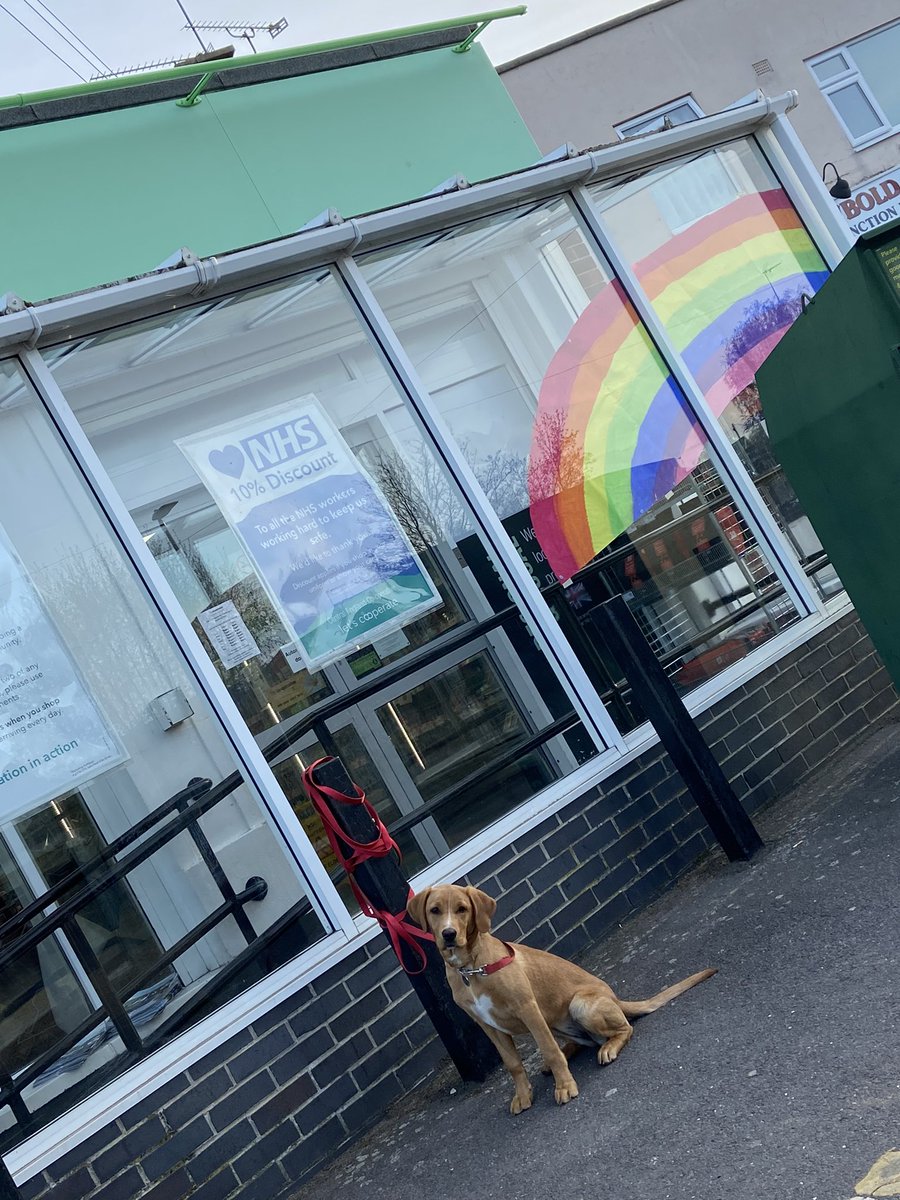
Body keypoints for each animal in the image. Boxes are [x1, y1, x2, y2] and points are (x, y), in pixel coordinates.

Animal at [410, 883, 720, 1113]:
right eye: (435, 910)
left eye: (462, 909)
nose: (449, 934)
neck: (471, 967)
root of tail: (616, 998)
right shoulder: (488, 1026)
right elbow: (513, 1064)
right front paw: (523, 1095)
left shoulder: (527, 1008)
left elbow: (548, 1048)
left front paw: (564, 1086)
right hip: (557, 1020)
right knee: (578, 1041)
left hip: (580, 1005)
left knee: (623, 1029)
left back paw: (607, 1048)